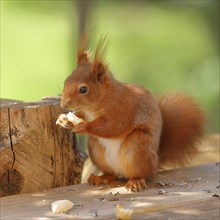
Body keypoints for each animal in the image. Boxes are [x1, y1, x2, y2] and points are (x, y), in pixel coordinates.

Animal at [56, 35, 205, 192]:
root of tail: (155, 164)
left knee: (142, 174)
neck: (99, 103)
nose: (63, 104)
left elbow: (113, 126)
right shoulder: (86, 112)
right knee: (112, 174)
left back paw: (136, 181)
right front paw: (62, 119)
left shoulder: (124, 109)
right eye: (66, 81)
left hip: (137, 147)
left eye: (83, 89)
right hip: (96, 150)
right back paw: (100, 178)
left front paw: (83, 125)